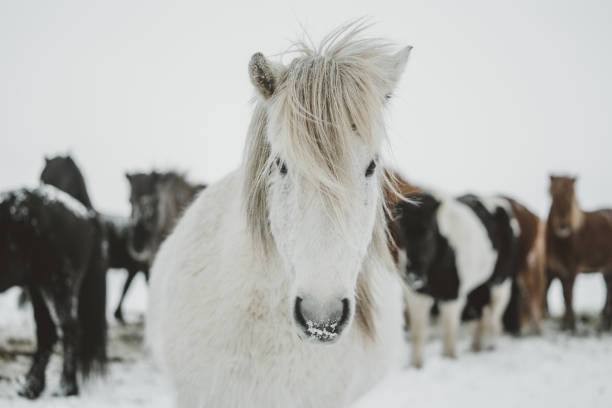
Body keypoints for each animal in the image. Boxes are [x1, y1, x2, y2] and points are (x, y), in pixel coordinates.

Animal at [0, 186, 106, 398]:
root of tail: (84, 214)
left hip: (57, 285)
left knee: (69, 330)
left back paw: (66, 387)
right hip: (37, 287)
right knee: (47, 332)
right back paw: (31, 387)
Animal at [394, 191, 520, 366]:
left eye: (428, 233)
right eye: (400, 233)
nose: (412, 276)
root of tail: (501, 204)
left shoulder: (451, 296)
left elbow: (448, 332)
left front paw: (449, 359)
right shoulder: (416, 295)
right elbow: (418, 334)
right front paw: (415, 365)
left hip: (500, 282)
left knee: (495, 315)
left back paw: (490, 346)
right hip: (477, 286)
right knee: (482, 312)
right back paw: (476, 347)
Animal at [544, 175, 612, 332]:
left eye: (571, 197)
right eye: (553, 196)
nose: (563, 224)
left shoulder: (571, 269)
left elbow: (569, 295)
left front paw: (570, 326)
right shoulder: (559, 270)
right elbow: (565, 296)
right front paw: (566, 324)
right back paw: (604, 323)